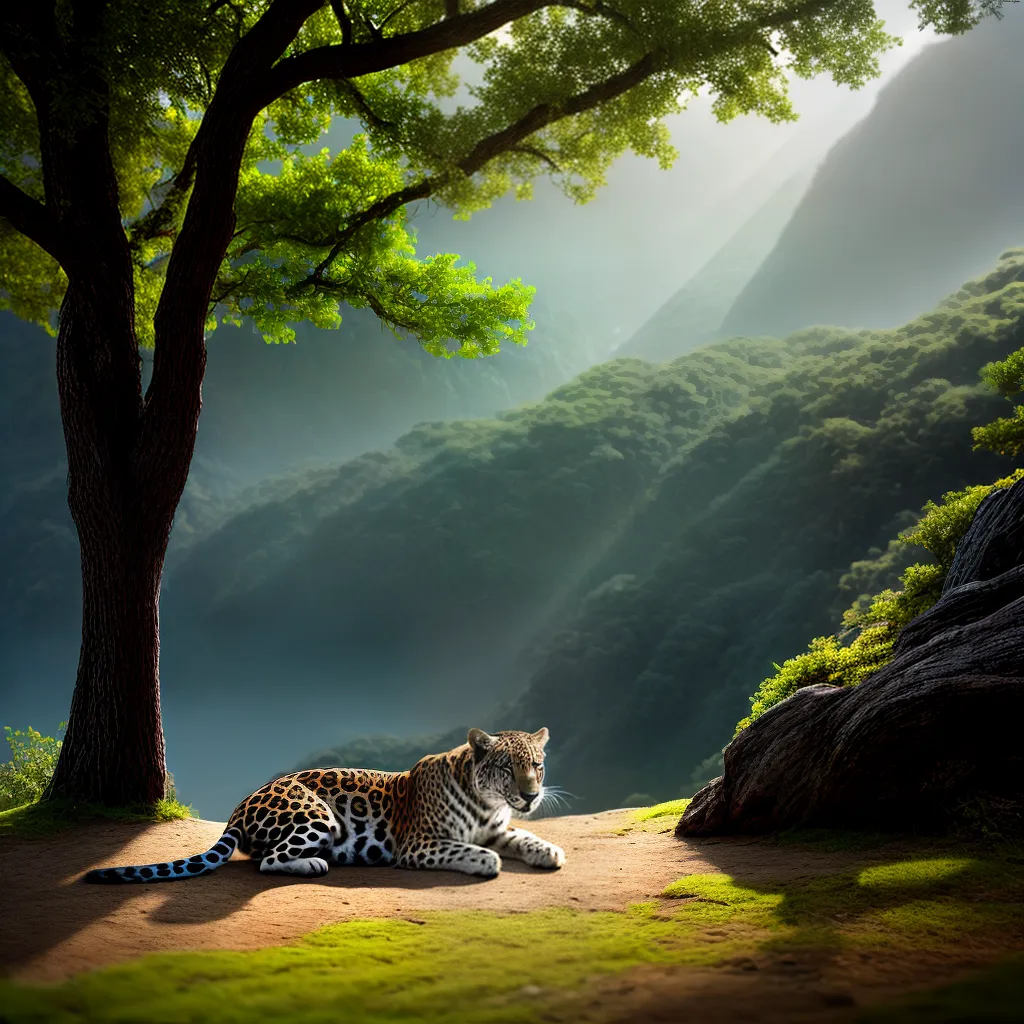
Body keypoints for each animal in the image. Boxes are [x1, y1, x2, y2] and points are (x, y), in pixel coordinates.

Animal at [83, 727, 564, 883]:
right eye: (506, 768)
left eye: (537, 766)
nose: (530, 794)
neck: (488, 804)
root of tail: (241, 803)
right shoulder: (420, 843)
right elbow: (469, 850)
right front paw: (486, 862)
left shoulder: (499, 828)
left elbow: (522, 836)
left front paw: (549, 850)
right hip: (318, 815)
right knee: (268, 861)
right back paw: (315, 862)